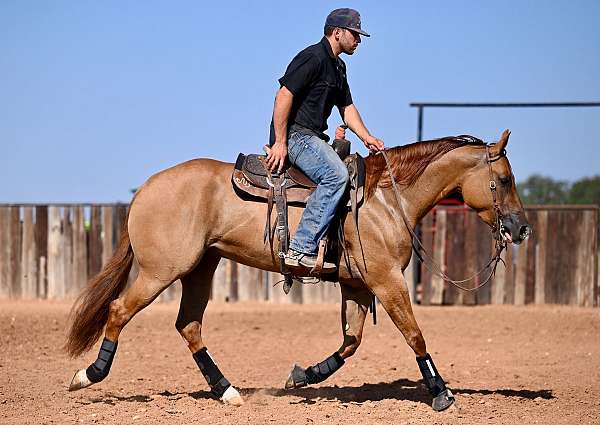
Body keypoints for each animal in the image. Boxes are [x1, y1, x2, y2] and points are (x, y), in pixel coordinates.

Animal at [63, 129, 528, 410]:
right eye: (505, 179)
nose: (521, 228)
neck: (385, 199)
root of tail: (147, 187)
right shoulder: (386, 281)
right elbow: (414, 334)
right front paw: (442, 392)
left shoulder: (357, 286)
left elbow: (351, 342)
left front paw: (303, 375)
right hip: (161, 271)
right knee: (120, 311)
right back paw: (88, 375)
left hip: (200, 268)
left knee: (189, 325)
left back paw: (227, 391)